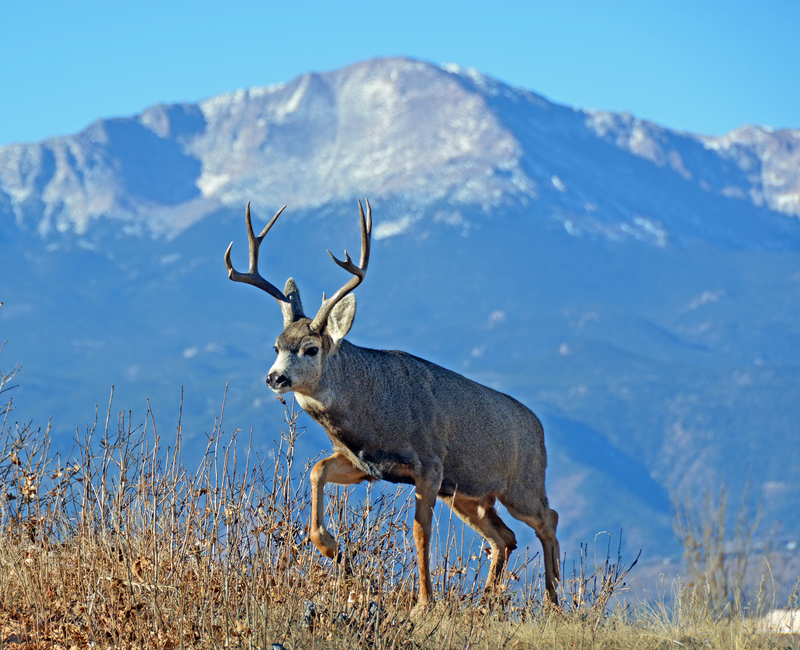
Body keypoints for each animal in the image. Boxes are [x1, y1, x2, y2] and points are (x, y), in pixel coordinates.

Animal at [225, 199, 564, 608]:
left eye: (310, 348)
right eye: (275, 346)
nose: (275, 378)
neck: (375, 410)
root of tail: (538, 427)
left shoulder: (430, 463)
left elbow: (421, 531)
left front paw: (424, 603)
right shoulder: (365, 464)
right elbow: (317, 470)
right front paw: (339, 555)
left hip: (521, 484)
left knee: (548, 519)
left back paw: (556, 601)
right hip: (468, 493)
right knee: (505, 537)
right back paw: (486, 604)